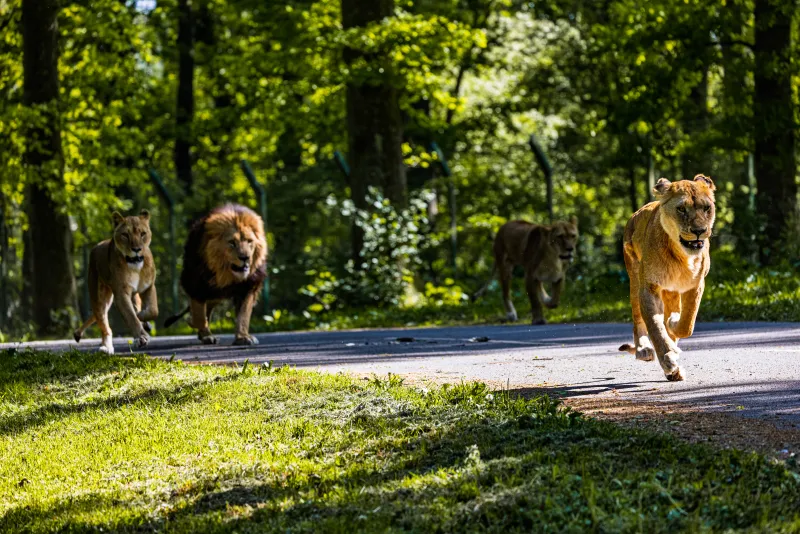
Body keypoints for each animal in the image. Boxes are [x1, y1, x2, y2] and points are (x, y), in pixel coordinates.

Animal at [73, 210, 158, 354]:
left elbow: (153, 311)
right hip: (100, 299)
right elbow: (131, 317)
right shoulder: (121, 294)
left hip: (133, 296)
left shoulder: (149, 287)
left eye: (143, 234)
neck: (135, 265)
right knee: (105, 327)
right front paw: (141, 338)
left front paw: (141, 317)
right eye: (125, 235)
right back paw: (106, 347)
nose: (136, 249)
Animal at [163, 203, 267, 345]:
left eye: (249, 241)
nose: (245, 258)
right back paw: (205, 334)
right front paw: (193, 322)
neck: (226, 274)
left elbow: (243, 315)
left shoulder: (248, 287)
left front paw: (243, 337)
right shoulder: (195, 285)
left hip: (216, 294)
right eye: (232, 243)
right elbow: (199, 316)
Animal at [619, 174, 716, 382]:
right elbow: (655, 326)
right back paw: (644, 349)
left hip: (671, 292)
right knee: (638, 321)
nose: (699, 230)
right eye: (681, 209)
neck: (682, 257)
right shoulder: (649, 287)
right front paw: (668, 357)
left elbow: (687, 323)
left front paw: (673, 323)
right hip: (634, 280)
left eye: (706, 208)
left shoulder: (695, 285)